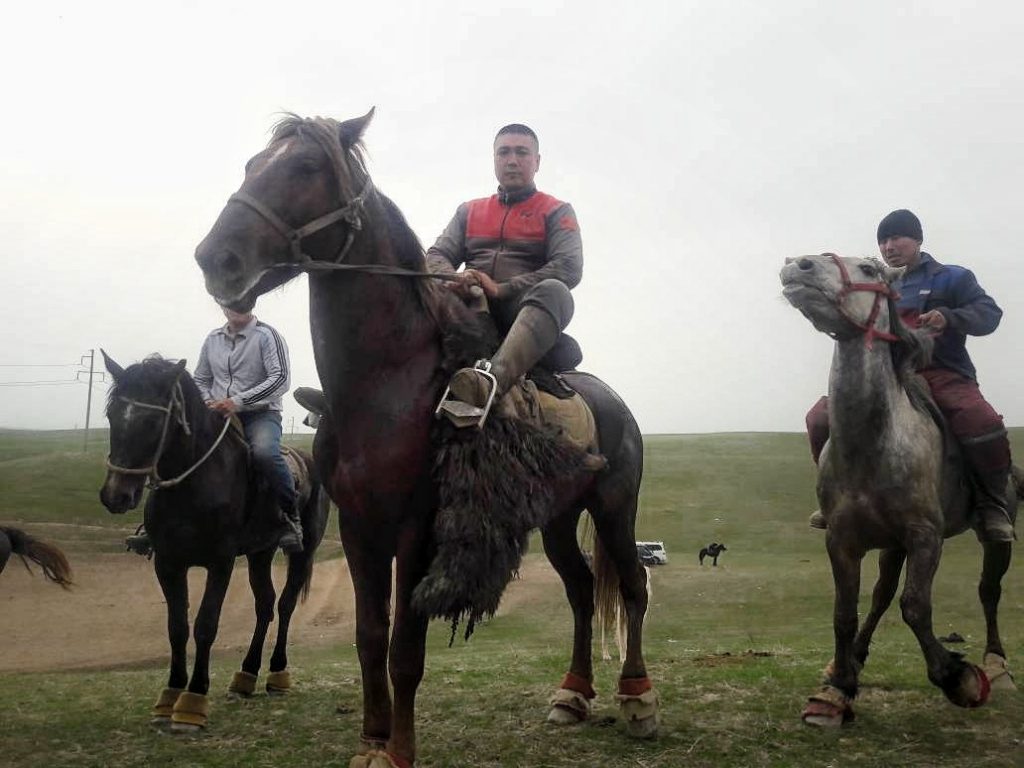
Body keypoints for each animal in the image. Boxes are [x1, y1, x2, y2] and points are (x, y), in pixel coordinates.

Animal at [97, 354, 325, 733]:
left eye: (153, 420)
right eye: (113, 414)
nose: (115, 495)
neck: (193, 483)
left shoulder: (221, 562)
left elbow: (206, 625)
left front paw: (193, 702)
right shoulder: (168, 563)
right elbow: (176, 628)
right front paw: (169, 697)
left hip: (303, 552)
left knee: (286, 605)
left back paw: (277, 674)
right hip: (260, 553)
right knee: (265, 605)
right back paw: (245, 676)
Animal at [192, 111, 655, 765]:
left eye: (305, 166)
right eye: (253, 165)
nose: (217, 258)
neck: (387, 384)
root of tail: (613, 401)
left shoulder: (418, 528)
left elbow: (405, 651)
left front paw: (399, 751)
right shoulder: (358, 527)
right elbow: (368, 637)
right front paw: (371, 739)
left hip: (615, 507)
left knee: (633, 587)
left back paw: (639, 698)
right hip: (559, 520)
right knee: (583, 591)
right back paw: (572, 694)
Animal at [782, 253, 1015, 729]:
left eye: (869, 269)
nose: (798, 265)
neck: (876, 443)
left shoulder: (925, 537)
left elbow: (915, 606)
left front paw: (957, 677)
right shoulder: (843, 541)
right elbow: (845, 612)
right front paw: (838, 687)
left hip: (992, 534)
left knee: (989, 590)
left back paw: (997, 665)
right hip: (892, 545)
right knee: (880, 596)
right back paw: (852, 660)